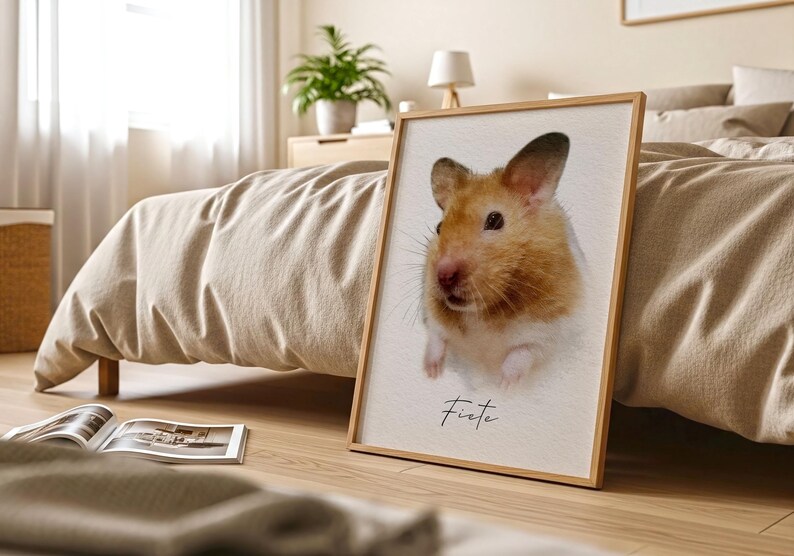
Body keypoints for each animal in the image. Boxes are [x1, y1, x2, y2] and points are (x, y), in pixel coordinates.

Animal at [423, 132, 584, 387]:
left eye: (495, 220)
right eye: (439, 228)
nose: (444, 275)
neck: (480, 311)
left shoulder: (555, 331)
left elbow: (523, 352)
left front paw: (504, 385)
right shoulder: (433, 315)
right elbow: (436, 336)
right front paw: (431, 372)